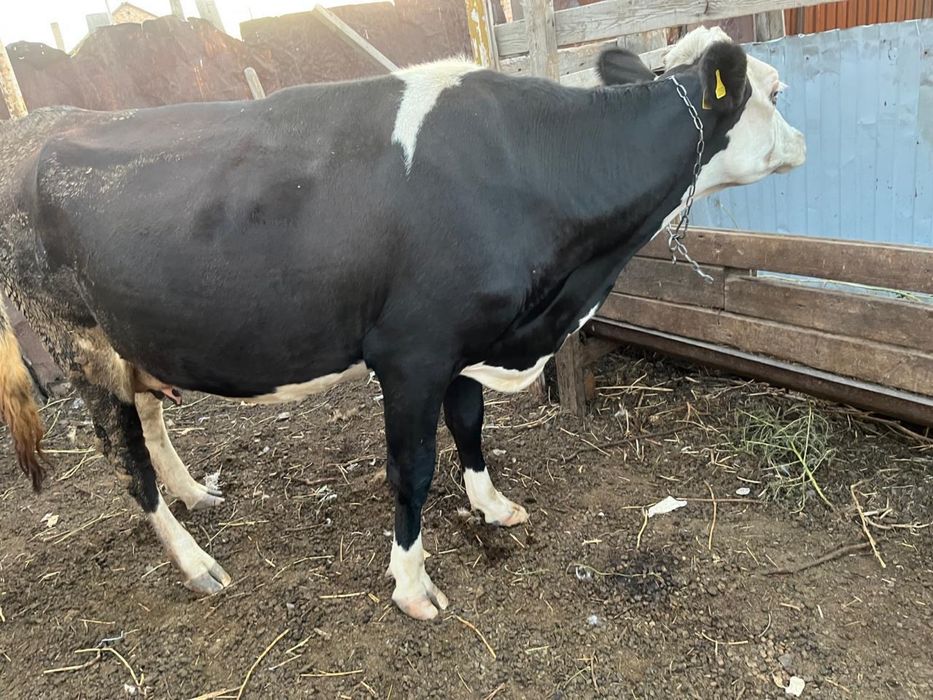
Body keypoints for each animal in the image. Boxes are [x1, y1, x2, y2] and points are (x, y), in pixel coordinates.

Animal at [0, 26, 804, 620]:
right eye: (775, 92)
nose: (800, 141)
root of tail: (41, 123)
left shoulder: (468, 339)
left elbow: (470, 424)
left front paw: (492, 505)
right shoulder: (412, 352)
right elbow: (412, 469)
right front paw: (412, 584)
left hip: (131, 337)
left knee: (151, 419)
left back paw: (197, 494)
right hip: (76, 341)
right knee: (124, 459)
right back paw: (197, 562)